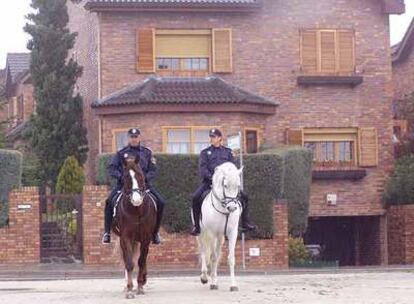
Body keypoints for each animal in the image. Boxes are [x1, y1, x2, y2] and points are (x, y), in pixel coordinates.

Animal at [111, 153, 157, 298]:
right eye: (126, 177)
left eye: (141, 175)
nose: (136, 200)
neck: (136, 210)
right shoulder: (125, 238)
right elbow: (129, 262)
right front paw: (130, 289)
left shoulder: (146, 238)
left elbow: (141, 261)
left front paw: (140, 286)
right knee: (127, 260)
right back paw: (127, 285)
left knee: (143, 258)